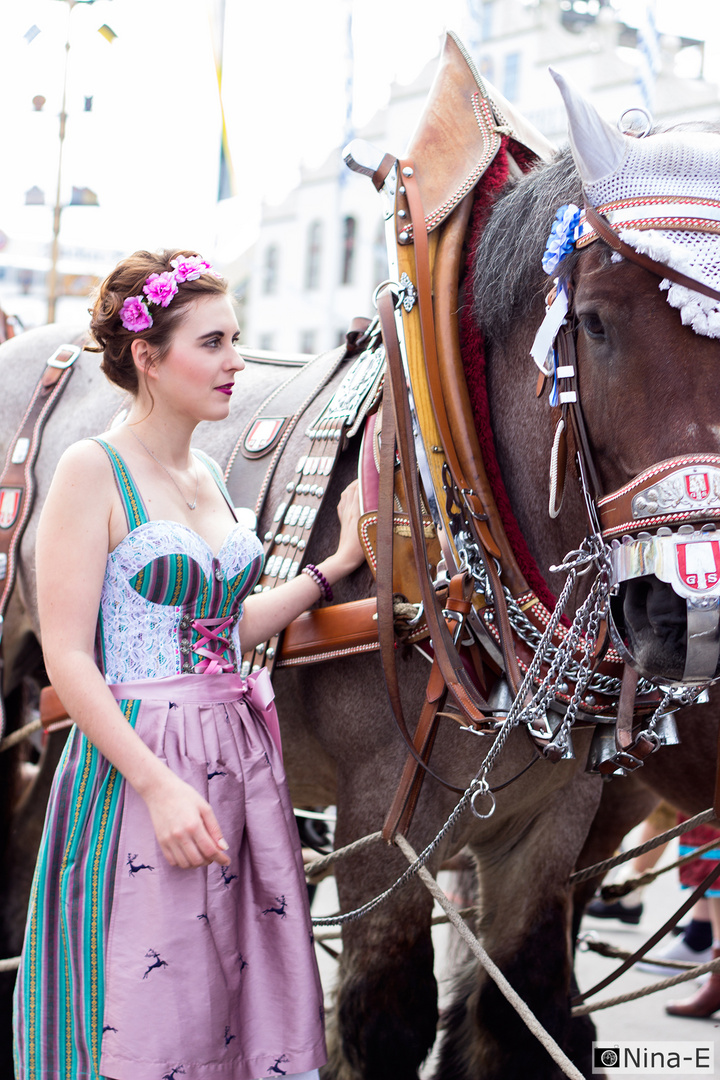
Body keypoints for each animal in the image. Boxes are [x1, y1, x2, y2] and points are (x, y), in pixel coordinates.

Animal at [1, 101, 720, 1080]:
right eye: (597, 324)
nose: (688, 612)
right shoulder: (380, 819)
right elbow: (384, 1020)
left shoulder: (555, 825)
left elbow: (517, 1011)